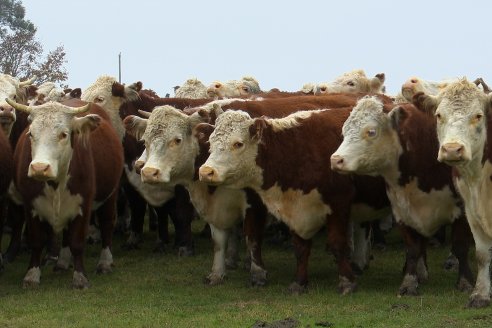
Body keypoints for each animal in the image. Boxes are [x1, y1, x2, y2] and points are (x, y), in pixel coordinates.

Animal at [7, 98, 124, 288]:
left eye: (63, 134)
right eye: (31, 134)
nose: (39, 167)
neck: (55, 183)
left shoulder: (84, 204)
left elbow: (77, 242)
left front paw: (80, 278)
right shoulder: (30, 205)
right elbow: (37, 241)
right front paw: (31, 275)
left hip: (110, 194)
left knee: (107, 224)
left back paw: (105, 262)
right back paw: (62, 262)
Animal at [123, 106, 270, 286]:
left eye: (177, 140)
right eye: (145, 141)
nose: (148, 171)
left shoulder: (255, 205)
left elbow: (252, 236)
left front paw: (257, 273)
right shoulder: (215, 207)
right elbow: (219, 241)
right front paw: (217, 273)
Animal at [330, 96, 472, 296]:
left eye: (371, 132)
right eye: (344, 130)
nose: (336, 160)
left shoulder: (463, 210)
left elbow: (461, 247)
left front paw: (465, 282)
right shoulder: (402, 211)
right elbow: (412, 248)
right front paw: (409, 282)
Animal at [416, 79, 492, 308]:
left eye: (478, 115)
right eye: (439, 115)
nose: (452, 149)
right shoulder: (471, 209)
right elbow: (482, 254)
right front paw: (481, 294)